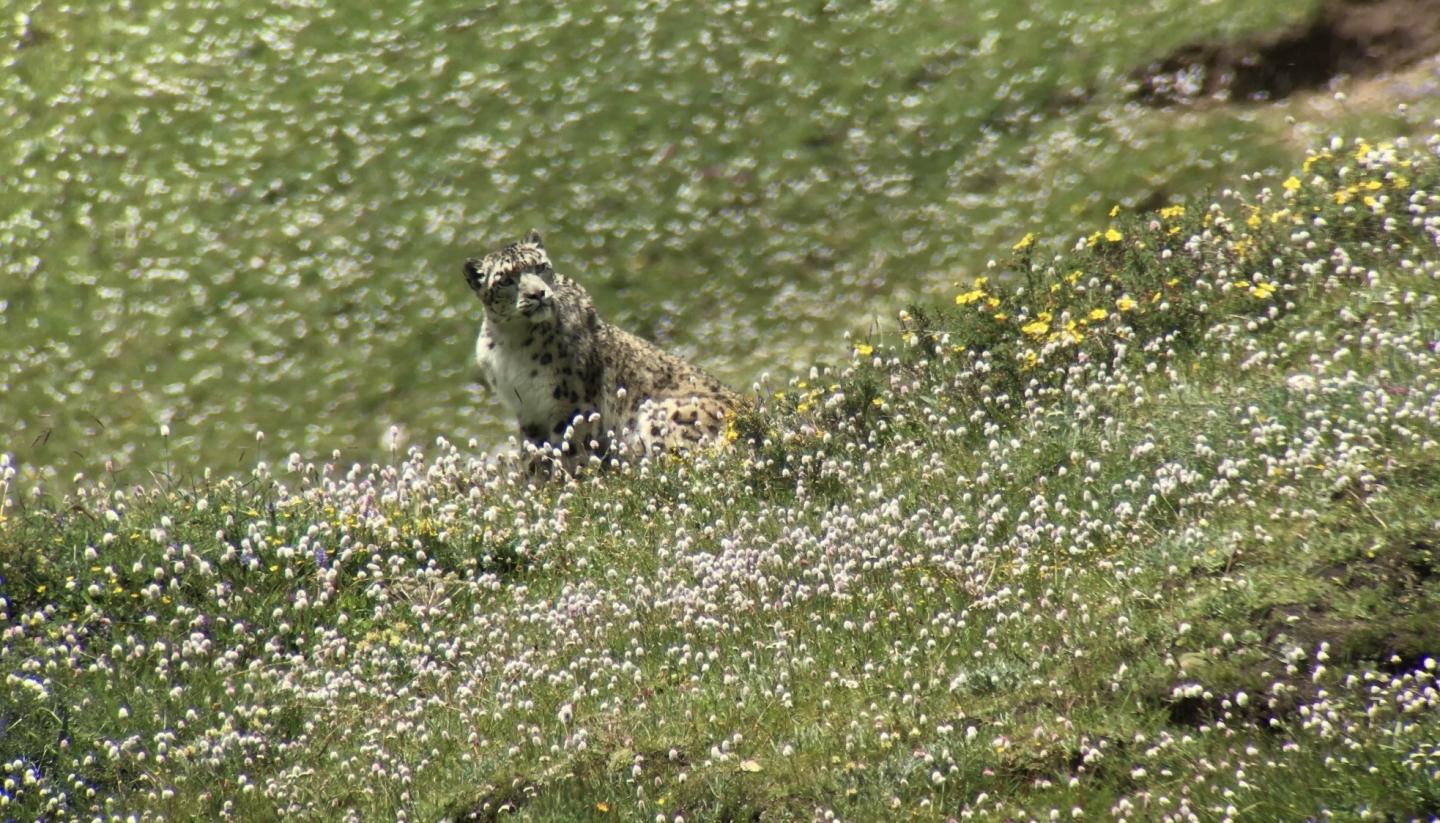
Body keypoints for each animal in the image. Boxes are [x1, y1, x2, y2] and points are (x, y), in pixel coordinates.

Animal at [463, 230, 741, 475]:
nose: (538, 293)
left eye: (540, 267)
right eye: (505, 280)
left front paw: (570, 484)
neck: (512, 342)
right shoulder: (528, 410)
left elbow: (571, 451)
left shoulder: (571, 404)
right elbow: (533, 457)